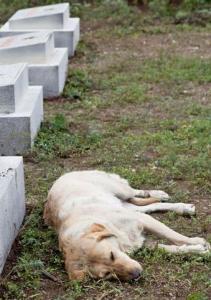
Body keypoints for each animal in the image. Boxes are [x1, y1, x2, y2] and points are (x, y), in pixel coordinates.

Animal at [43, 171, 210, 282]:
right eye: (107, 274)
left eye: (111, 255)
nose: (137, 275)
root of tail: (64, 174)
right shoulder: (144, 241)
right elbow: (173, 249)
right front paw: (199, 251)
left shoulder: (143, 221)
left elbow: (174, 236)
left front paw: (197, 242)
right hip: (125, 205)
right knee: (148, 206)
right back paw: (182, 208)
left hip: (120, 190)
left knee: (135, 192)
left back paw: (161, 194)